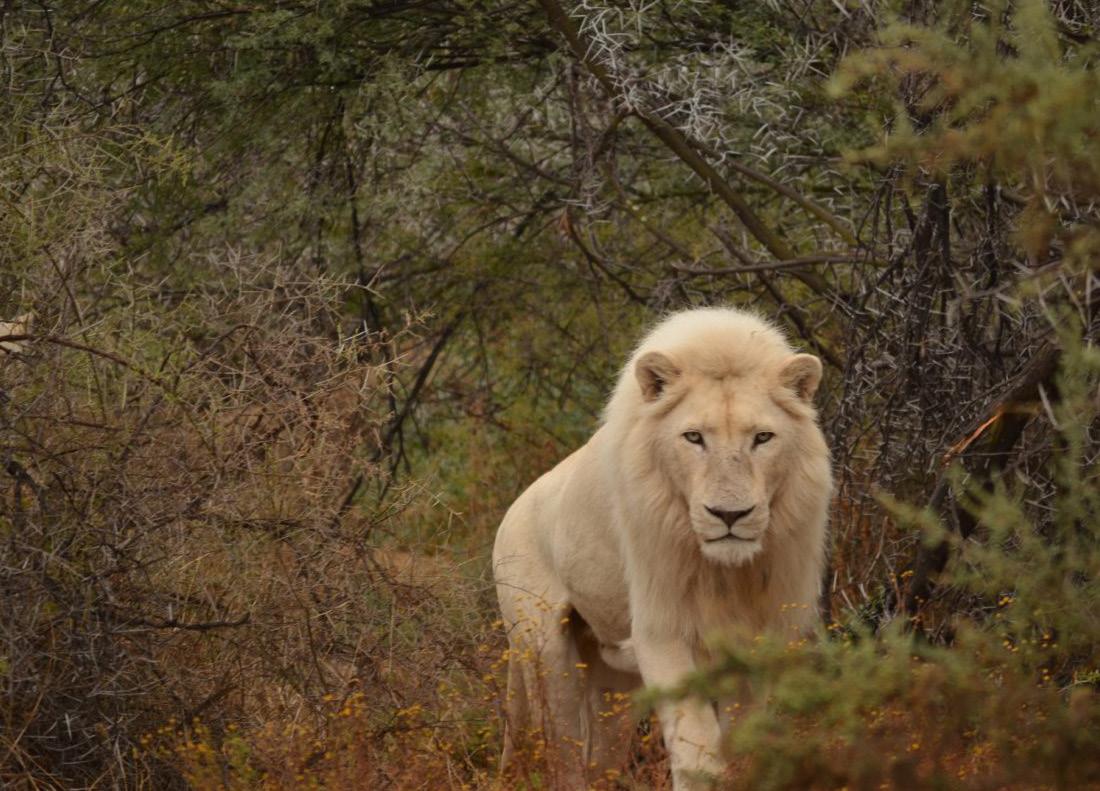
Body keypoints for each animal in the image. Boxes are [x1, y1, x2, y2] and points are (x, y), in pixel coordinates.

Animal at [492, 307, 832, 789]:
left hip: (612, 677)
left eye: (763, 438)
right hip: (543, 653)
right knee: (563, 752)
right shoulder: (662, 628)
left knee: (599, 756)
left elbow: (741, 741)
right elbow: (697, 745)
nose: (730, 514)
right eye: (694, 437)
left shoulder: (760, 635)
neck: (726, 572)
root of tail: (511, 511)